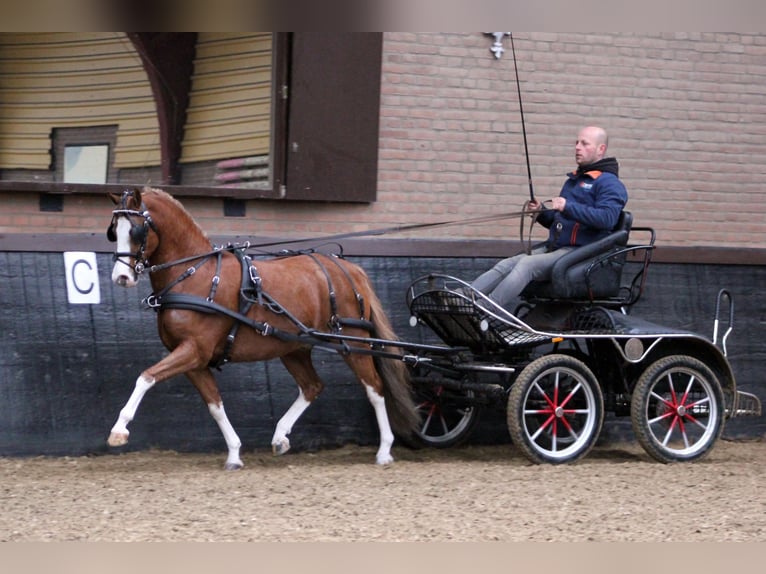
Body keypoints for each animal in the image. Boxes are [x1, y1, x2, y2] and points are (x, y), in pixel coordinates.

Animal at [105, 186, 418, 469]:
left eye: (136, 231)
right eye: (113, 231)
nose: (121, 277)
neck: (196, 275)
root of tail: (351, 270)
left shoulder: (194, 350)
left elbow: (145, 377)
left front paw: (119, 430)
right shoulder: (195, 360)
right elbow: (215, 405)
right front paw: (234, 454)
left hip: (354, 342)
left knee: (375, 389)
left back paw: (384, 450)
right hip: (294, 348)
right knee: (312, 386)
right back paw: (280, 437)